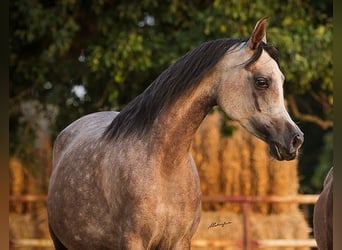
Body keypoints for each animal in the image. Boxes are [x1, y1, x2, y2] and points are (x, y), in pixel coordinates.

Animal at [47, 17, 302, 248]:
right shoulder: (133, 241)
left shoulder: (180, 241)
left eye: (281, 80)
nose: (296, 140)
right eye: (262, 81)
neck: (164, 165)